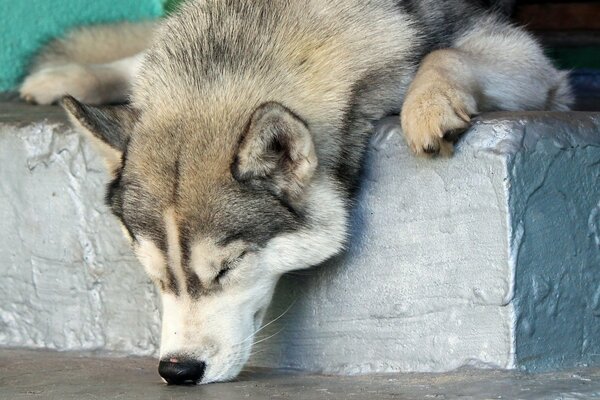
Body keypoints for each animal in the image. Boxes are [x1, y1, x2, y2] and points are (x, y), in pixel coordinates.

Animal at [19, 0, 572, 384]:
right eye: (156, 275)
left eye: (228, 267)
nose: (177, 371)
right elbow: (140, 59)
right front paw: (79, 75)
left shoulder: (530, 61)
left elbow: (443, 51)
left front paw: (429, 104)